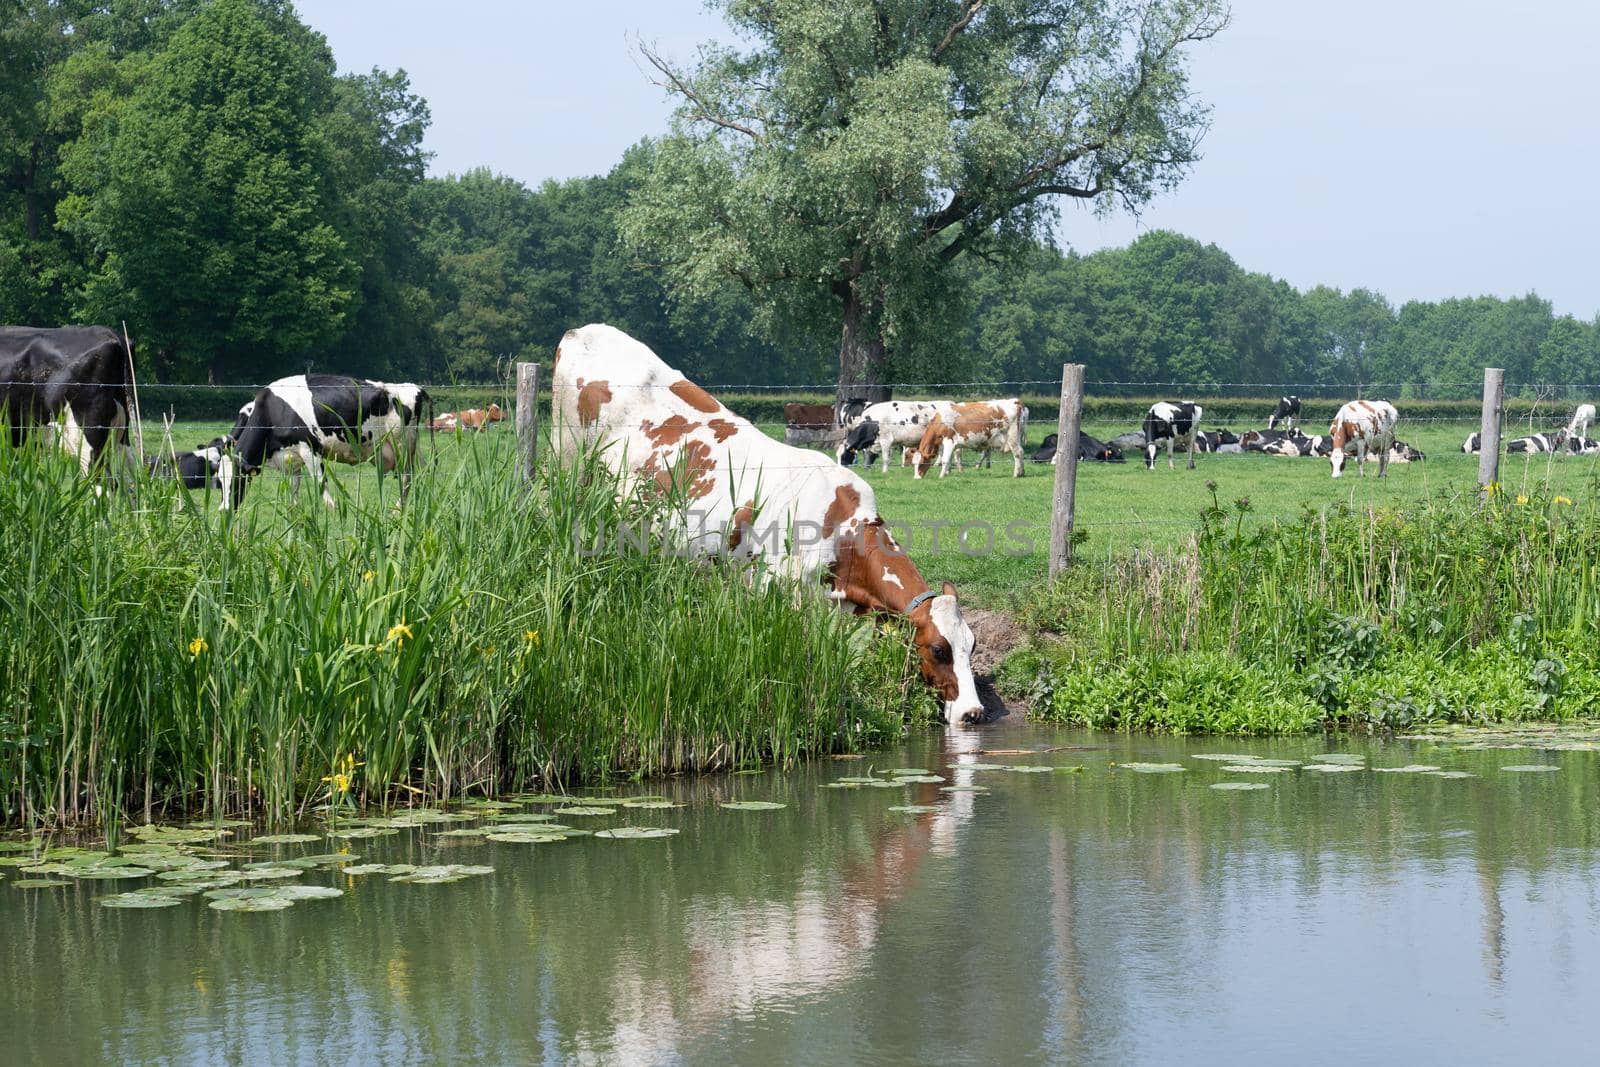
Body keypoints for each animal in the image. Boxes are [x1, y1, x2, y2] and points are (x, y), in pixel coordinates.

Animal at [553, 323, 985, 726]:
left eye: (973, 644)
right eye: (939, 649)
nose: (973, 712)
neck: (840, 533)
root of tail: (583, 331)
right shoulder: (772, 589)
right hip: (568, 465)